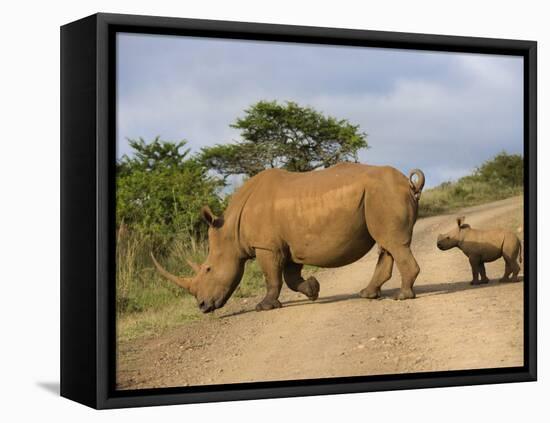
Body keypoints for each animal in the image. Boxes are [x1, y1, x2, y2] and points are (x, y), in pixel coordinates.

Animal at [151, 164, 426, 314]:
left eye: (208, 269)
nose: (202, 306)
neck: (230, 231)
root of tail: (409, 183)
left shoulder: (266, 246)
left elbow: (272, 278)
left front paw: (264, 307)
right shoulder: (289, 245)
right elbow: (291, 278)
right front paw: (314, 290)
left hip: (384, 193)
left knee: (393, 244)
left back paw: (402, 296)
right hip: (379, 196)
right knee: (387, 244)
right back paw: (367, 294)